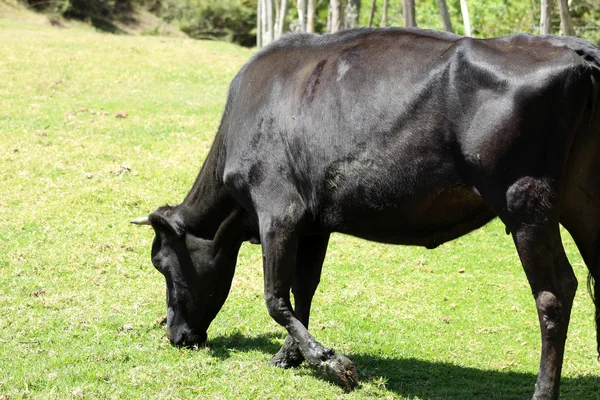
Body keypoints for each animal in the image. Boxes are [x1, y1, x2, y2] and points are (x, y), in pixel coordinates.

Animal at [132, 26, 600, 398]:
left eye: (163, 264)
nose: (175, 336)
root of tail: (574, 48)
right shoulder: (313, 223)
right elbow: (303, 289)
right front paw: (290, 355)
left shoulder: (278, 210)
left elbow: (274, 297)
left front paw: (331, 361)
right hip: (580, 200)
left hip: (525, 199)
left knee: (555, 293)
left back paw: (542, 391)